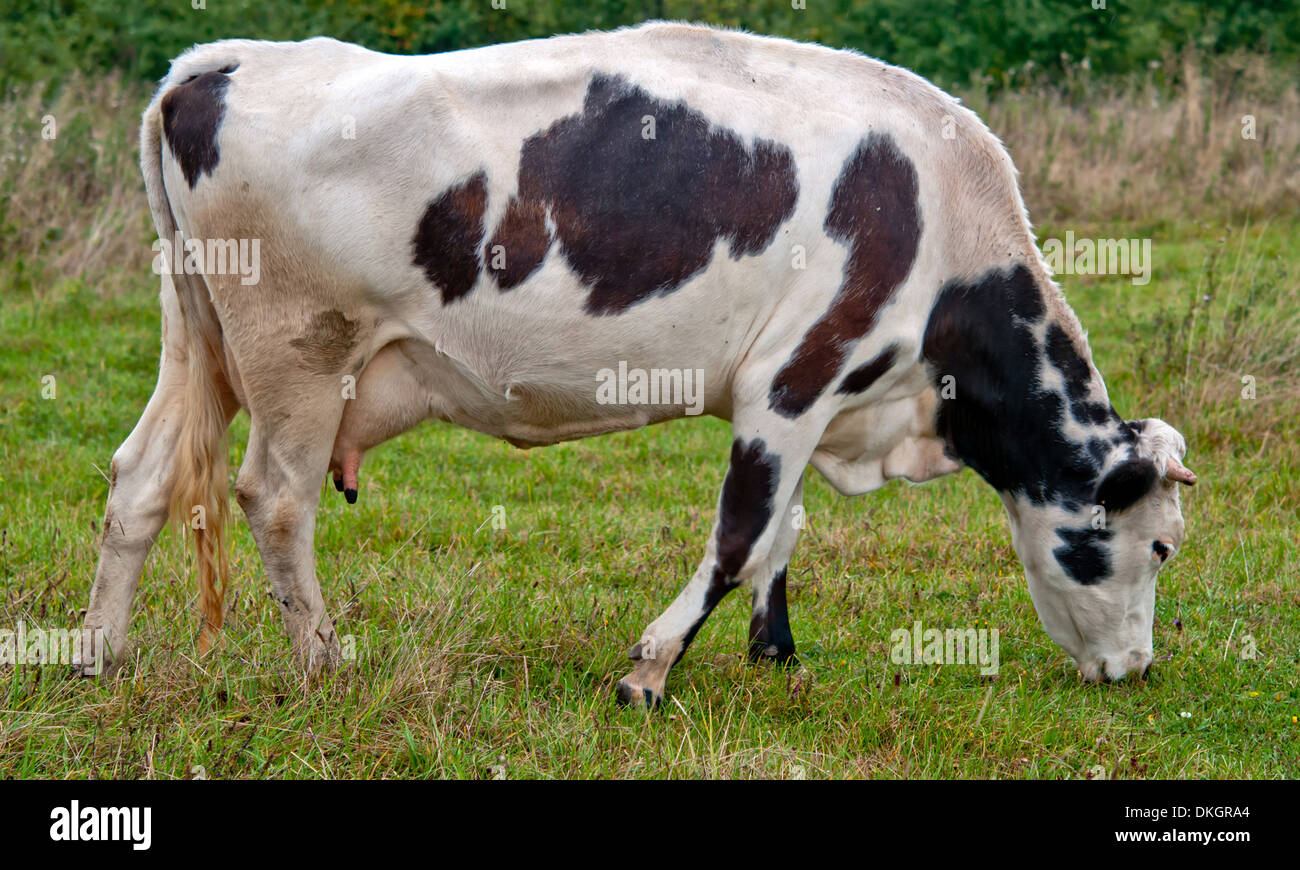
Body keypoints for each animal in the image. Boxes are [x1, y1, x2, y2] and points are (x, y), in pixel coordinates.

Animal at [78, 20, 1196, 702]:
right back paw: (323, 663)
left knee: (139, 478)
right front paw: (649, 672)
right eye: (1157, 547)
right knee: (274, 497)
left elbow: (783, 530)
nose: (1138, 669)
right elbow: (742, 535)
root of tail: (220, 61)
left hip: (200, 338)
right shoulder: (796, 376)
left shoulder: (805, 403)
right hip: (300, 352)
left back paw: (99, 656)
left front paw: (774, 654)